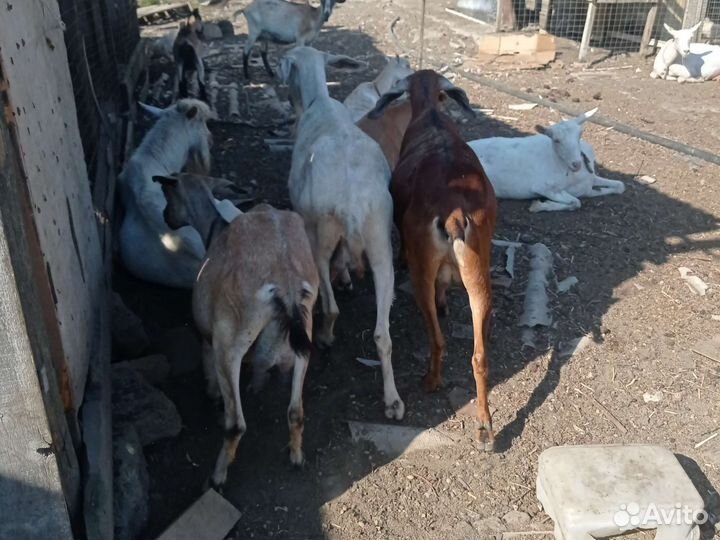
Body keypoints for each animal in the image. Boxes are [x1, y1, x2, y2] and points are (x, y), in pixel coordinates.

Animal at [154, 173, 318, 489]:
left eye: (168, 193)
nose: (165, 216)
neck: (214, 228)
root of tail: (287, 283)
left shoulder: (208, 335)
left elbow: (207, 363)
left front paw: (212, 395)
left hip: (231, 342)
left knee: (236, 425)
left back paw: (217, 476)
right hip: (304, 334)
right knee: (296, 412)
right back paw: (296, 456)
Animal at [280, 46, 404, 420]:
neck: (318, 101)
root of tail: (352, 197)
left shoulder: (307, 221)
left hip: (322, 230)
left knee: (328, 295)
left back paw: (325, 335)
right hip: (379, 235)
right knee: (382, 335)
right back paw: (393, 401)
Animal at [369, 70, 497, 450]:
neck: (432, 116)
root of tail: (453, 214)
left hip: (421, 276)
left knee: (437, 338)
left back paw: (431, 380)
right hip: (479, 282)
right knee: (479, 356)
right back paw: (484, 427)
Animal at [467, 108, 625, 212]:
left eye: (580, 134)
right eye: (556, 140)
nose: (576, 164)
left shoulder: (589, 181)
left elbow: (620, 186)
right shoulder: (543, 187)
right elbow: (576, 202)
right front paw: (539, 206)